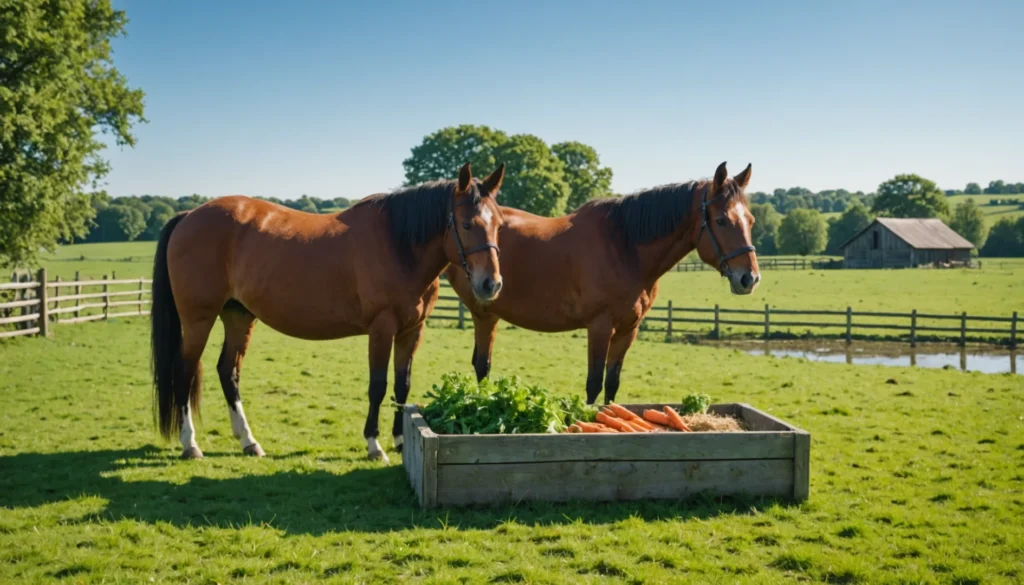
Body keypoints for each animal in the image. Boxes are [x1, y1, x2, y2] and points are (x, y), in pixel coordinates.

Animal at [149, 161, 507, 463]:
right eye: (466, 223)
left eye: (499, 225)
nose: (491, 284)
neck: (398, 244)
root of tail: (189, 215)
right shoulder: (382, 328)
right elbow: (378, 385)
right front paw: (374, 445)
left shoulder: (411, 330)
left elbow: (401, 385)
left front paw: (401, 440)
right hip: (198, 319)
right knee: (184, 371)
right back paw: (190, 444)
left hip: (238, 316)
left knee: (228, 372)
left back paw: (249, 442)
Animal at [448, 162, 761, 405]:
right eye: (721, 220)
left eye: (750, 220)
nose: (750, 278)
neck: (624, 246)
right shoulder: (599, 327)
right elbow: (594, 384)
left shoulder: (627, 330)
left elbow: (612, 383)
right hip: (485, 314)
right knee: (482, 367)